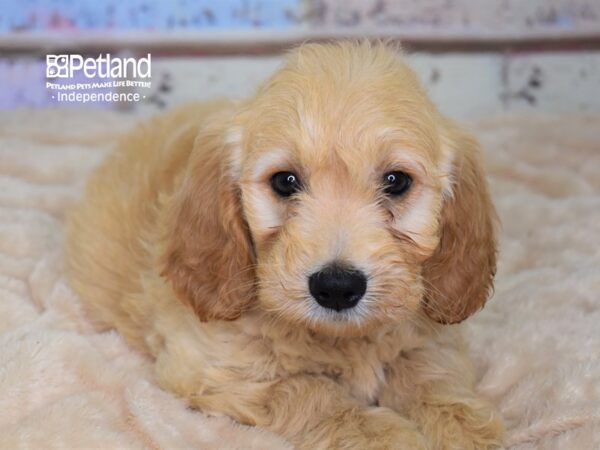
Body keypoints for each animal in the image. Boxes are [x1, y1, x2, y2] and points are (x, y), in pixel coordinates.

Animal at [65, 40, 504, 448]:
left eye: (396, 181)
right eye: (284, 181)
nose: (337, 287)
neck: (342, 339)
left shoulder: (434, 335)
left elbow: (429, 372)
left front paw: (465, 426)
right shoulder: (210, 369)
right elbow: (309, 390)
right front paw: (380, 435)